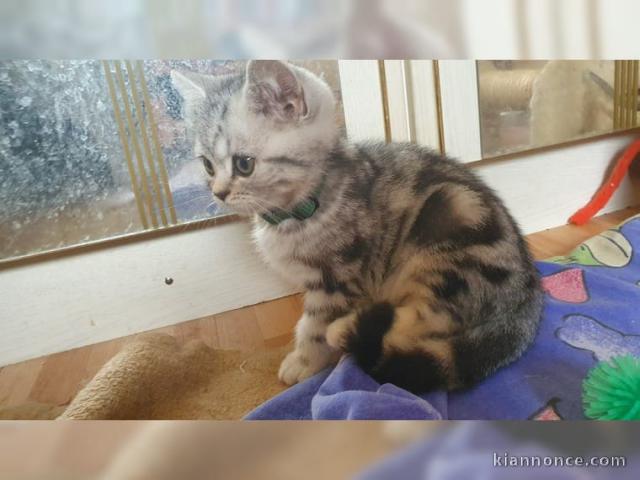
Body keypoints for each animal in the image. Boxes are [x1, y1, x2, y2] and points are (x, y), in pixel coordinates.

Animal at [172, 60, 544, 392]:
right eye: (207, 165)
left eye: (244, 164)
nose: (219, 193)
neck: (304, 207)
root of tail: (529, 299)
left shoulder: (337, 278)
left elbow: (313, 325)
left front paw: (303, 361)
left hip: (450, 234)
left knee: (420, 323)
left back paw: (348, 330)